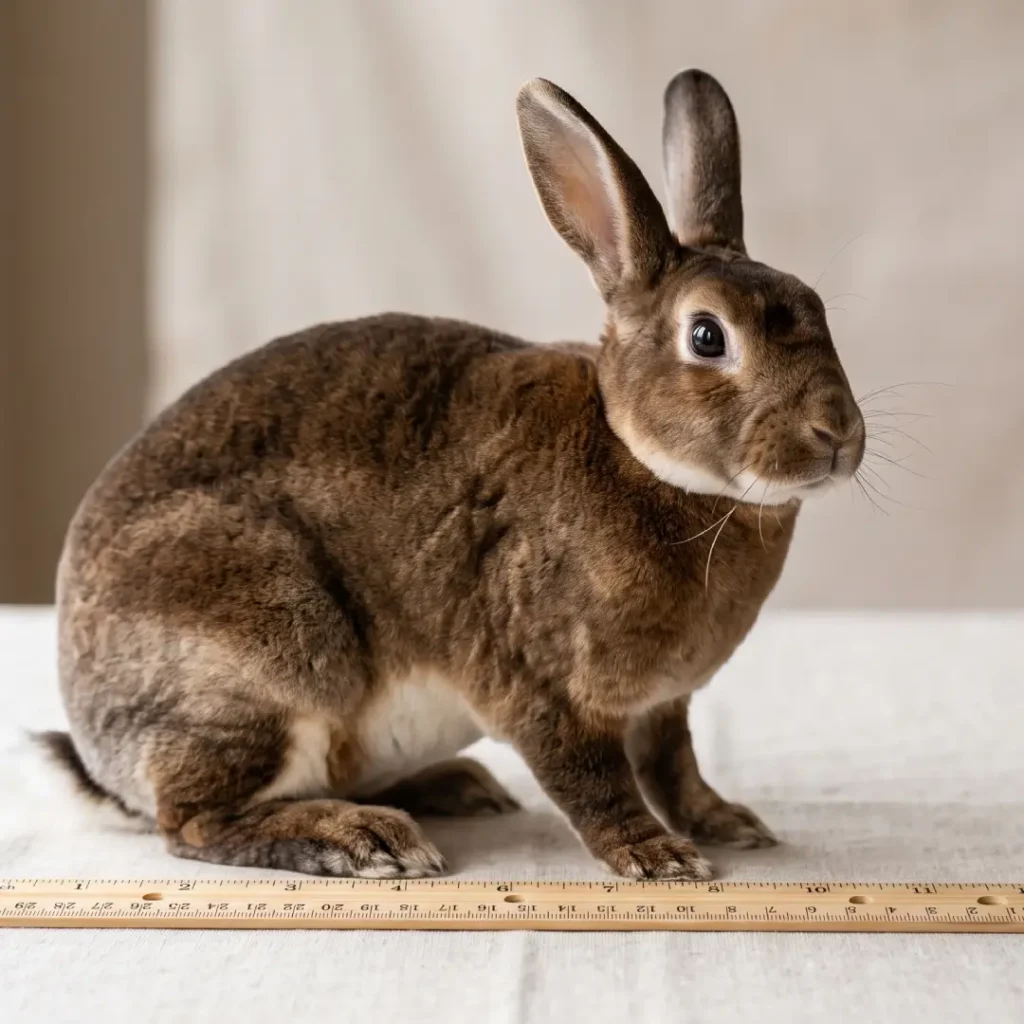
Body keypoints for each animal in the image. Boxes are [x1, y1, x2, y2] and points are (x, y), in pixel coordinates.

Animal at [43, 70, 863, 880]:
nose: (838, 433)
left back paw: (455, 788)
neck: (639, 457)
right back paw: (364, 839)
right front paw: (655, 857)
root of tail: (100, 754)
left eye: (817, 308)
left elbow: (674, 767)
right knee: (195, 823)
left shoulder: (663, 706)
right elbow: (592, 781)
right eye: (707, 336)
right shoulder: (542, 686)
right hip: (265, 654)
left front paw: (728, 823)